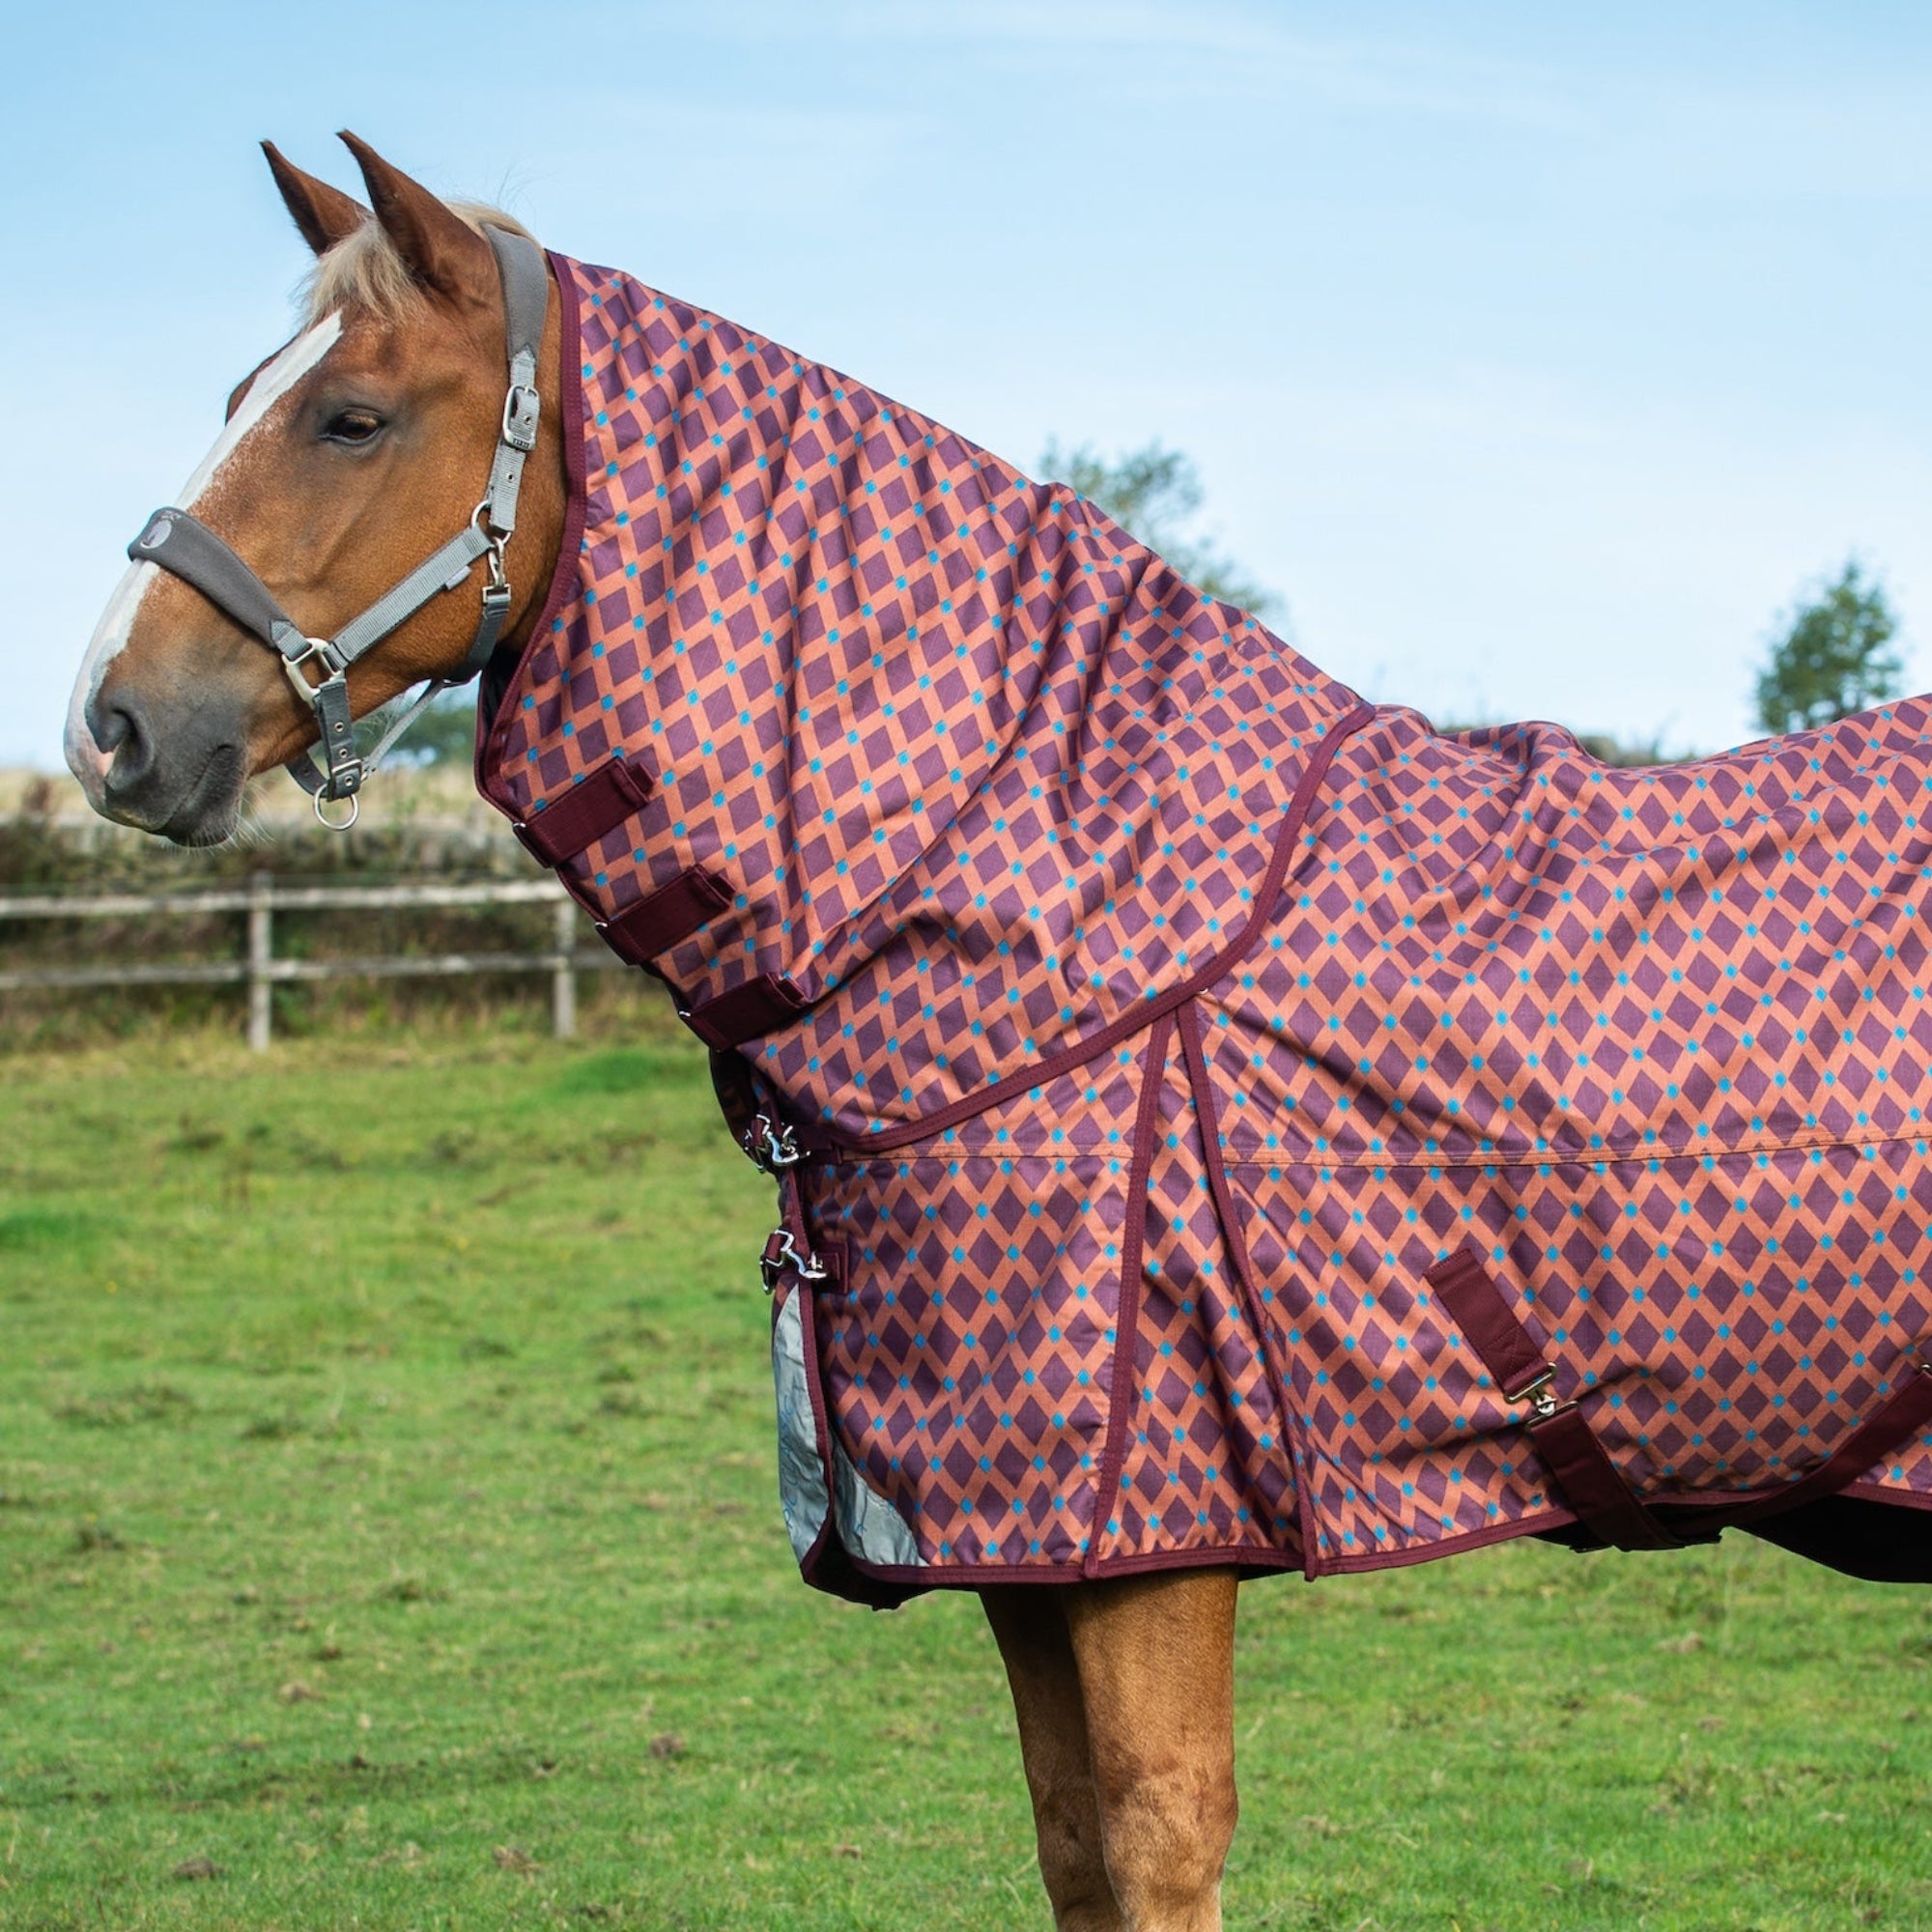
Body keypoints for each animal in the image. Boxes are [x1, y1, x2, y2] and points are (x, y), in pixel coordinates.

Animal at [67, 135, 1932, 1932]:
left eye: (350, 416)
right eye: (248, 391)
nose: (110, 727)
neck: (1064, 936)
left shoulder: (1143, 1546)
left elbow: (1161, 1844)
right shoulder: (1030, 1575)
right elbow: (1070, 1845)